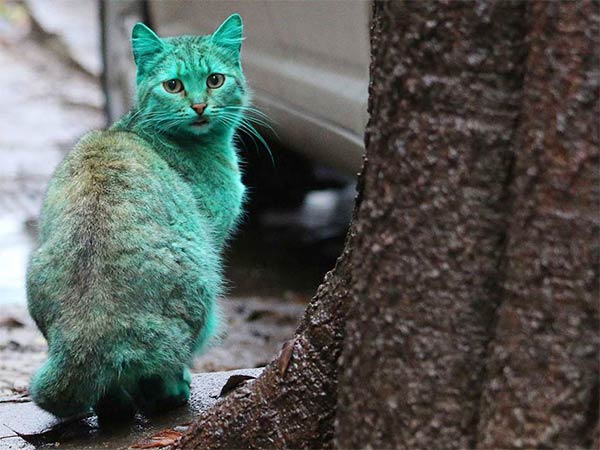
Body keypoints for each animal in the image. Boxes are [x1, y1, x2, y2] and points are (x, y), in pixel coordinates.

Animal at [27, 14, 247, 422]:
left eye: (214, 80)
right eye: (173, 85)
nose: (199, 106)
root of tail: (85, 338)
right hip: (203, 288)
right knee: (160, 374)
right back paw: (172, 393)